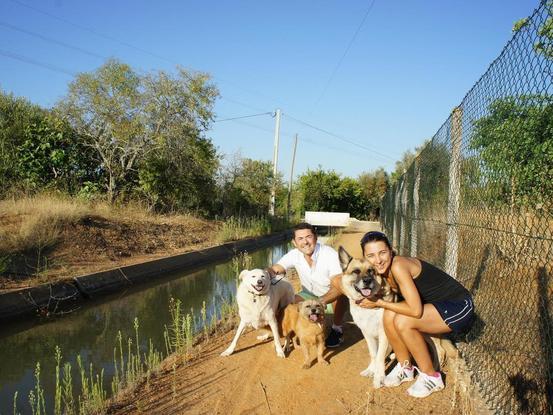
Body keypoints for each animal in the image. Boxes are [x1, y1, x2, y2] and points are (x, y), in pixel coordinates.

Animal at [334, 247, 394, 390]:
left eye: (371, 271)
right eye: (356, 271)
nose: (367, 281)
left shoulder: (383, 334)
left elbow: (379, 357)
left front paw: (378, 378)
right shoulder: (367, 333)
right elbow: (373, 354)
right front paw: (371, 370)